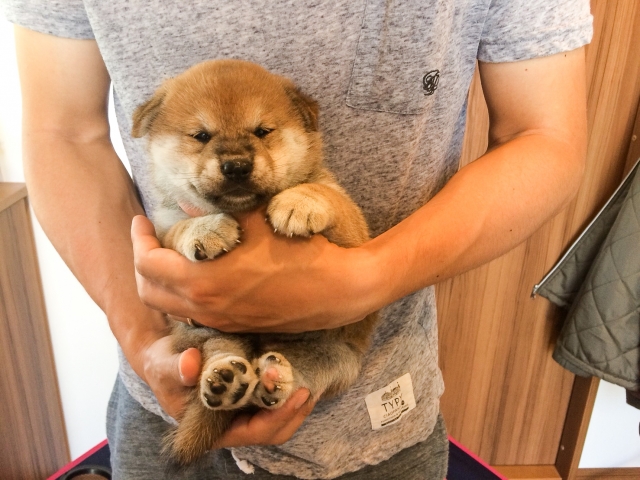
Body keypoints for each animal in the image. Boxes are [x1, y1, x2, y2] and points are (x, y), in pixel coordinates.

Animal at [132, 59, 379, 465]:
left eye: (263, 131)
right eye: (201, 135)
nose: (236, 165)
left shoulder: (353, 230)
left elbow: (325, 193)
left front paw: (298, 203)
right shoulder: (165, 227)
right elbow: (180, 228)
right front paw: (207, 228)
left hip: (331, 357)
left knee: (290, 381)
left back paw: (272, 379)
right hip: (206, 336)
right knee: (223, 357)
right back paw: (226, 381)